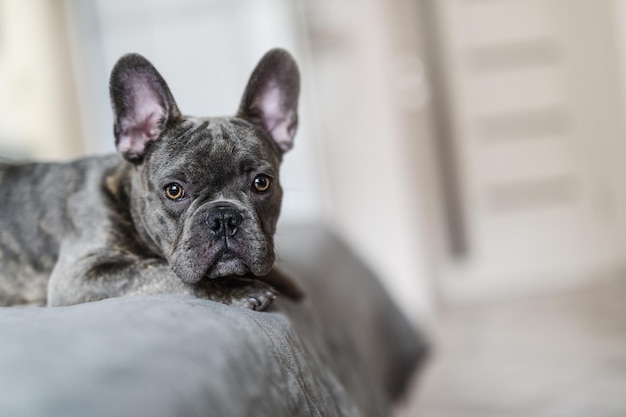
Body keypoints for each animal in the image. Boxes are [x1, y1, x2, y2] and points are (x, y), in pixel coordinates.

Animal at [0, 48, 302, 308]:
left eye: (262, 183)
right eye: (174, 190)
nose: (224, 217)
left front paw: (287, 283)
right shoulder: (79, 275)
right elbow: (162, 270)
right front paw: (238, 288)